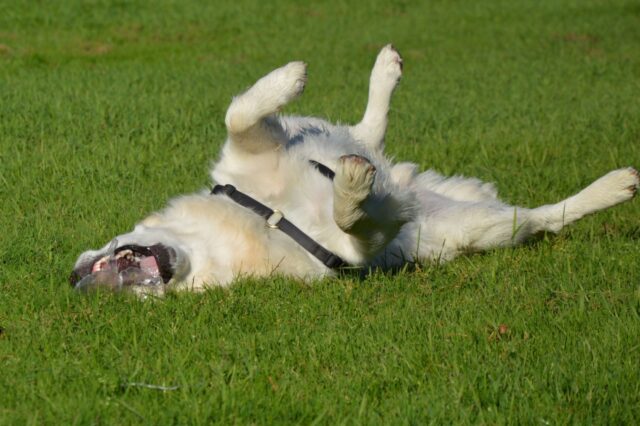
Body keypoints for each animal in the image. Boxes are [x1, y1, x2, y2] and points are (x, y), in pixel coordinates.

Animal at [67, 45, 636, 294]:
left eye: (93, 268)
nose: (84, 283)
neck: (256, 220)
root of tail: (409, 179)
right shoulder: (351, 250)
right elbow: (351, 218)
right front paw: (355, 189)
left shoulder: (254, 148)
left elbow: (239, 113)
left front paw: (288, 78)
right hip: (485, 227)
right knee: (546, 216)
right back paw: (613, 187)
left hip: (319, 133)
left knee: (365, 131)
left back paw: (383, 73)